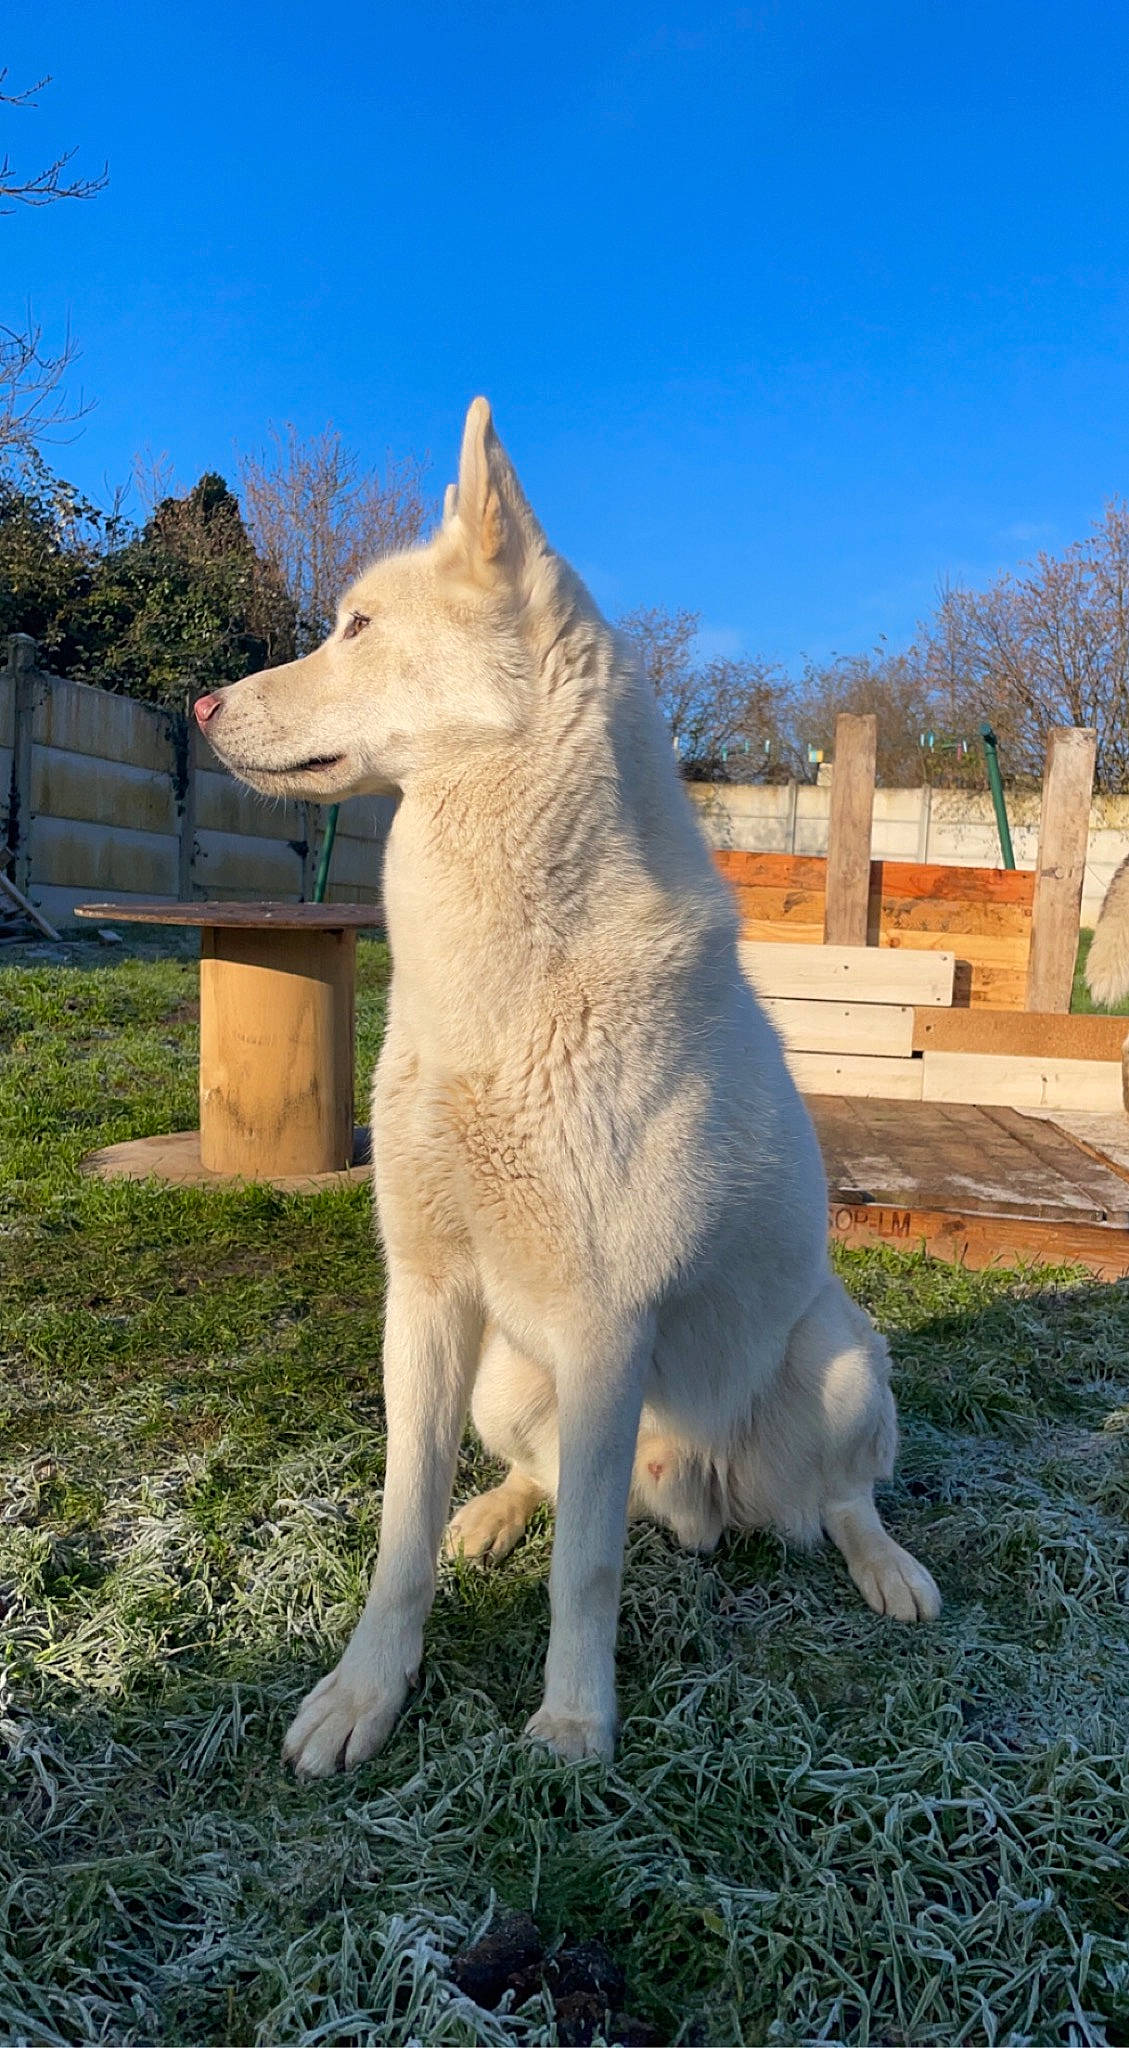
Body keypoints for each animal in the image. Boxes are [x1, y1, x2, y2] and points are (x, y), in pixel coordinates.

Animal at [194, 399, 939, 1778]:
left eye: (358, 625)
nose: (204, 699)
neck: (501, 982)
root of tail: (689, 1492)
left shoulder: (606, 1325)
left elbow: (585, 1568)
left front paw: (574, 1723)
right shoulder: (426, 1295)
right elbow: (400, 1534)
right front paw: (366, 1691)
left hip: (839, 1358)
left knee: (837, 1497)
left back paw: (885, 1567)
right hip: (504, 1373)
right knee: (548, 1483)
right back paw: (494, 1511)